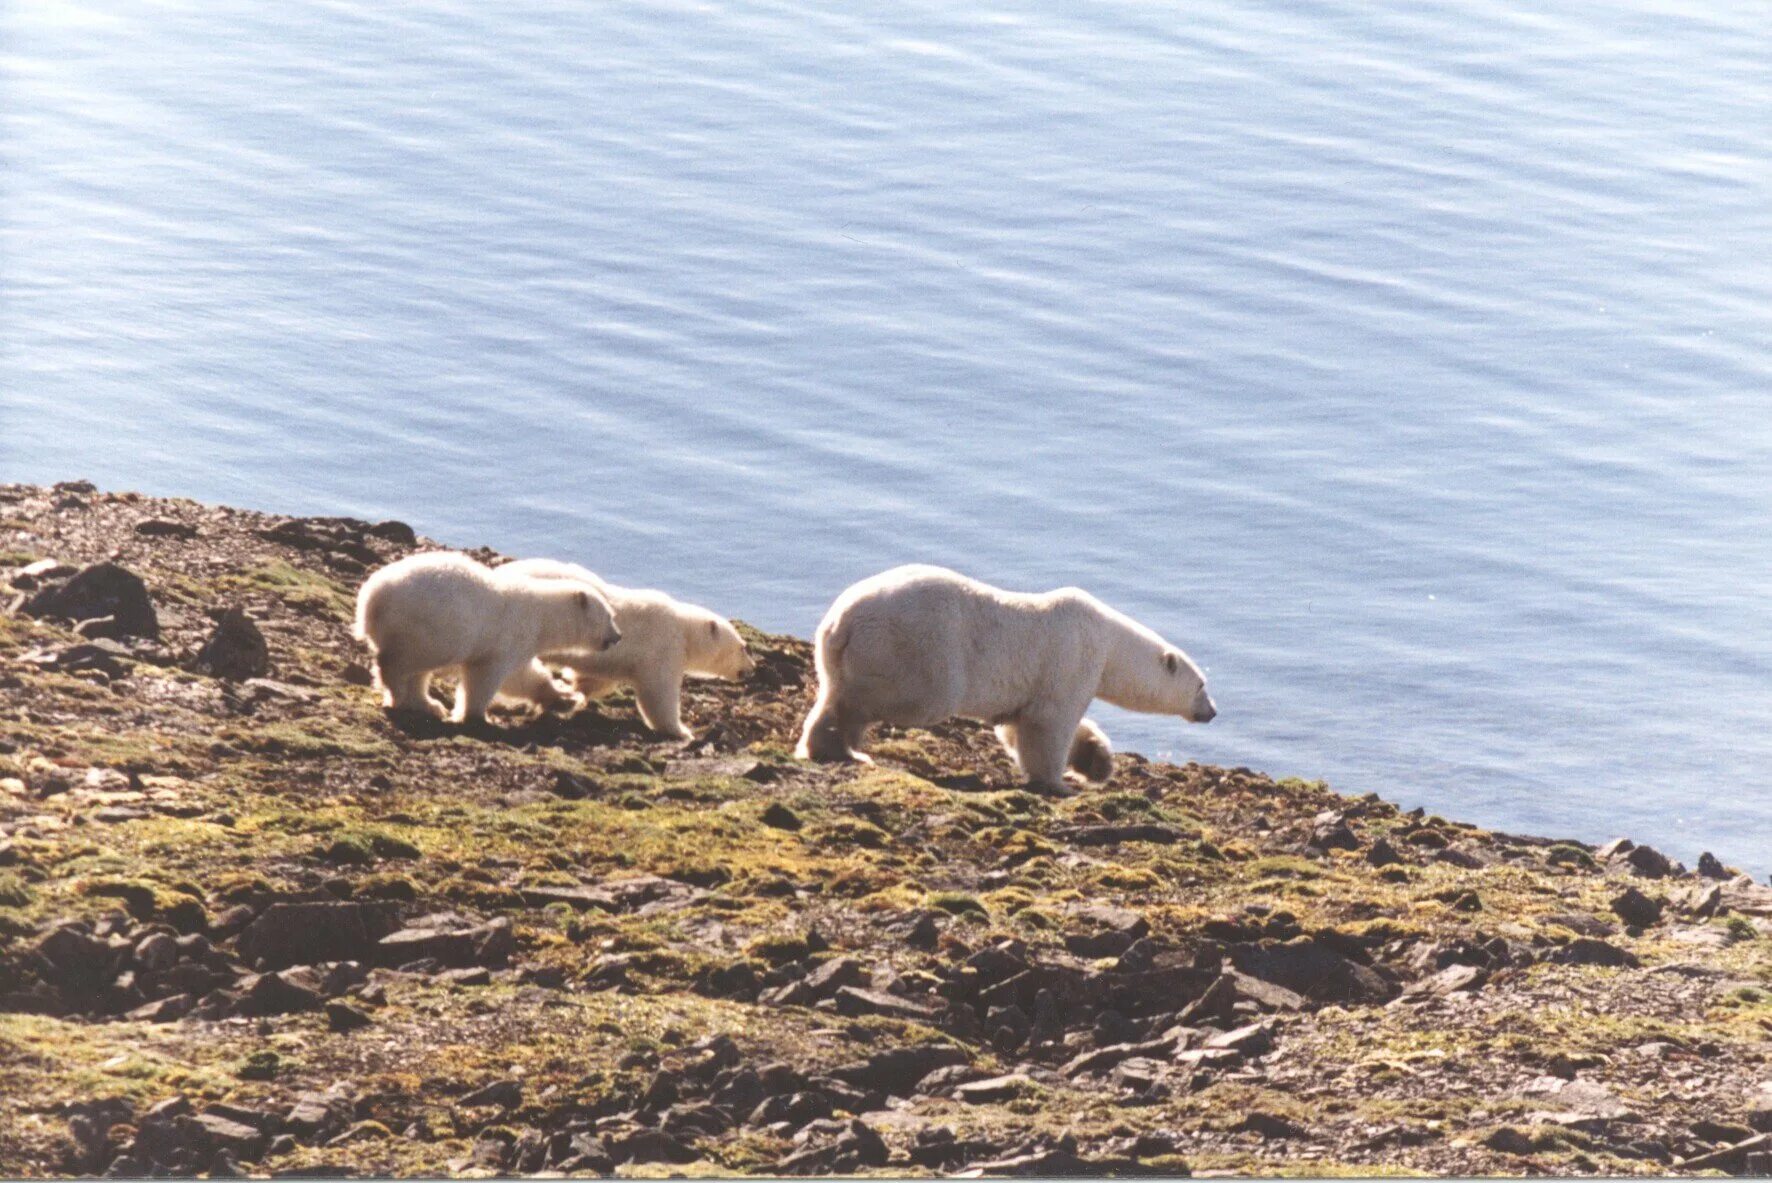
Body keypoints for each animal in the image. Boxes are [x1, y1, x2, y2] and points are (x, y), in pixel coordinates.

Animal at [349, 552, 620, 722]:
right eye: (609, 616)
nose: (618, 636)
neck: (540, 615)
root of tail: (371, 599)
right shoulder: (509, 637)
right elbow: (486, 678)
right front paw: (478, 715)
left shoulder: (519, 645)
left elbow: (522, 676)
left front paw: (563, 696)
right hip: (429, 626)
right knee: (404, 662)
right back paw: (399, 693)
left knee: (419, 671)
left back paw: (428, 704)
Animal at [489, 556, 758, 740]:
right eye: (743, 648)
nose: (752, 667)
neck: (683, 628)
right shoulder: (662, 647)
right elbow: (659, 694)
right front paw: (683, 731)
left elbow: (598, 678)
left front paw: (577, 688)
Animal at [797, 566, 1212, 793]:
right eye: (1202, 685)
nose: (1212, 712)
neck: (1109, 641)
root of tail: (842, 622)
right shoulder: (1071, 657)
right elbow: (1050, 723)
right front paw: (1060, 782)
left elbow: (1019, 725)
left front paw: (1096, 762)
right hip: (918, 648)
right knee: (904, 697)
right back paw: (847, 742)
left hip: (833, 653)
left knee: (831, 691)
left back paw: (828, 746)